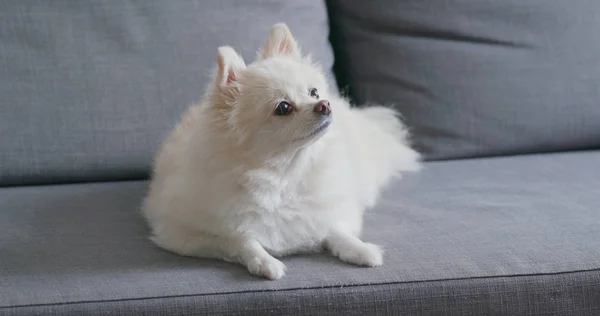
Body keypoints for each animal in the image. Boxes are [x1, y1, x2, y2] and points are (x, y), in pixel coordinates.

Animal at [142, 22, 420, 278]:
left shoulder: (329, 210)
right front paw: (264, 262)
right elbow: (240, 239)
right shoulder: (185, 234)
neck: (286, 175)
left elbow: (335, 229)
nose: (325, 104)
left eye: (313, 92)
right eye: (283, 108)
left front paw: (360, 250)